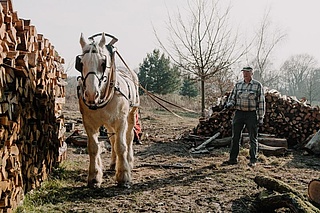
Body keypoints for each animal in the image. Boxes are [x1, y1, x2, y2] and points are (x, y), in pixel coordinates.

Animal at [76, 32, 140, 187]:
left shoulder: (121, 121)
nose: (91, 94)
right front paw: (94, 177)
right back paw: (113, 163)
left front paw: (123, 176)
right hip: (109, 123)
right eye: (81, 63)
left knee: (128, 138)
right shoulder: (89, 122)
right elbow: (93, 148)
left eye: (102, 63)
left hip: (131, 115)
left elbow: (121, 146)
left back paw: (129, 162)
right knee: (113, 139)